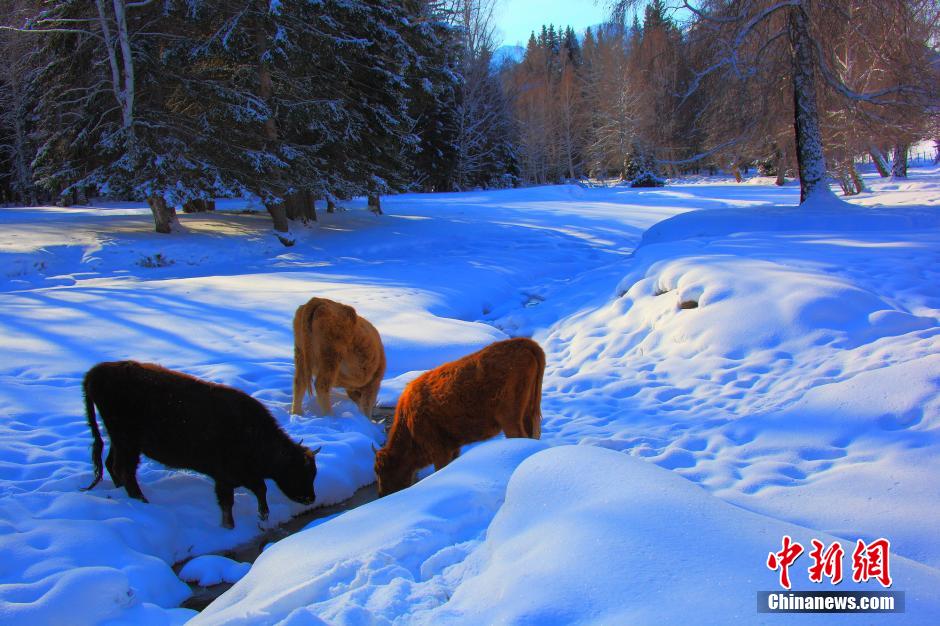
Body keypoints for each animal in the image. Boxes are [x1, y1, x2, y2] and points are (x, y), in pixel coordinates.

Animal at [81, 360, 316, 528]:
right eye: (300, 473)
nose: (310, 499)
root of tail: (94, 373)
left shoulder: (232, 478)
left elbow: (251, 492)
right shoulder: (228, 476)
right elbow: (249, 493)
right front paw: (246, 520)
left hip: (121, 442)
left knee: (112, 464)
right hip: (127, 443)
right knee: (124, 470)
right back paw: (142, 501)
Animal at [372, 334, 544, 494]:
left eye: (380, 470)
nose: (381, 494)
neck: (408, 421)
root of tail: (523, 343)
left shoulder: (440, 451)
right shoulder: (452, 447)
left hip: (510, 418)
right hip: (529, 412)